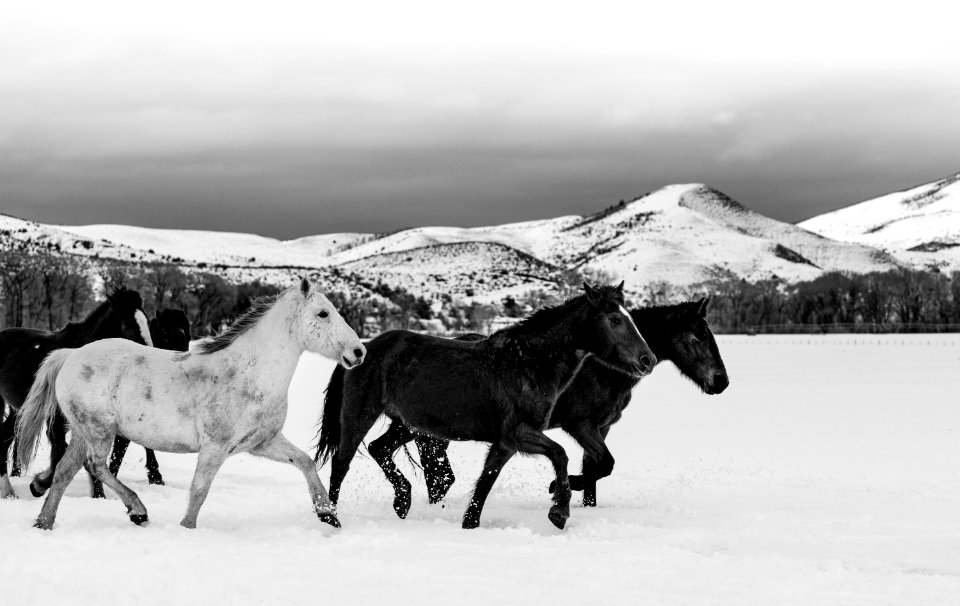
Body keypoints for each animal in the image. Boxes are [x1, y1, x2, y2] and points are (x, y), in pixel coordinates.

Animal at [0, 290, 152, 498]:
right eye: (128, 324)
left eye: (147, 322)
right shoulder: (56, 420)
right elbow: (59, 453)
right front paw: (38, 485)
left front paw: (99, 496)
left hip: (18, 411)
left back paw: (9, 492)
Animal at [16, 280, 366, 532]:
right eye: (323, 314)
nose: (358, 352)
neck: (248, 373)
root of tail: (70, 355)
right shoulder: (215, 447)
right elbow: (199, 490)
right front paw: (186, 528)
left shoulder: (263, 442)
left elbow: (305, 462)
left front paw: (328, 515)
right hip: (99, 430)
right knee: (95, 465)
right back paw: (137, 510)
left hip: (84, 431)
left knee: (65, 470)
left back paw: (43, 520)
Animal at [318, 284, 656, 532]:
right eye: (615, 320)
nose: (647, 360)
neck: (527, 363)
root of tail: (362, 350)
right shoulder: (520, 433)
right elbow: (560, 454)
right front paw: (559, 510)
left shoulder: (506, 443)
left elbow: (485, 484)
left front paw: (470, 525)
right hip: (359, 416)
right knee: (341, 464)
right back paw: (331, 518)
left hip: (405, 424)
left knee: (379, 449)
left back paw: (402, 501)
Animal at [410, 300, 728, 508]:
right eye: (699, 335)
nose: (721, 381)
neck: (603, 368)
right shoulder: (580, 425)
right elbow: (604, 465)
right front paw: (558, 487)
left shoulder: (602, 428)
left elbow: (596, 469)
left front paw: (582, 501)